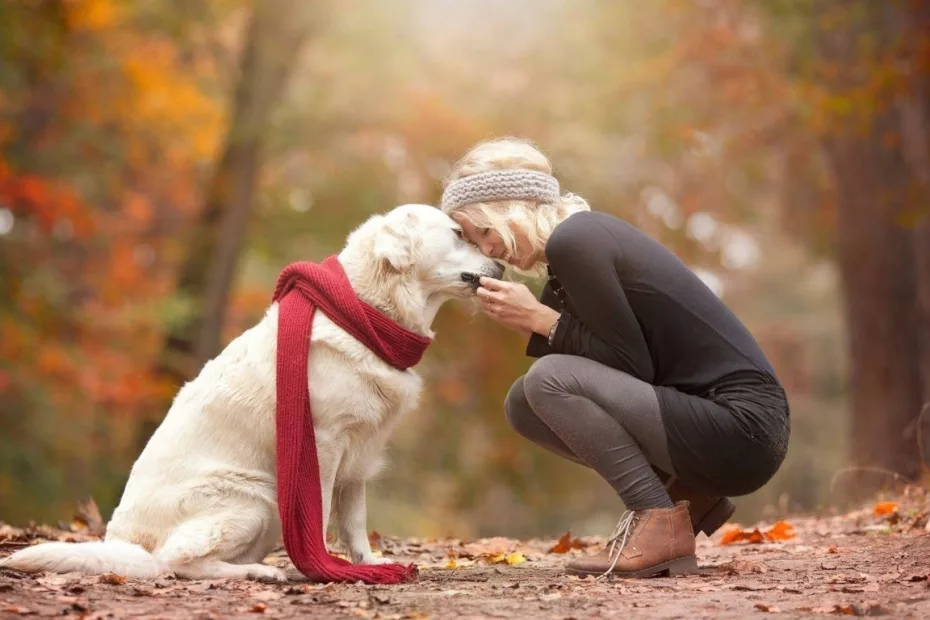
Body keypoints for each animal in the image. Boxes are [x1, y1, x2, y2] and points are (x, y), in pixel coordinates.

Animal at [3, 203, 500, 580]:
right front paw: (323, 567)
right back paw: (259, 572)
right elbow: (319, 513)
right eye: (458, 234)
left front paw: (368, 564)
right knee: (175, 562)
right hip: (256, 498)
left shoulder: (358, 455)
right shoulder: (323, 444)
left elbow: (355, 521)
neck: (366, 313)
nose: (500, 263)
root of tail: (125, 543)